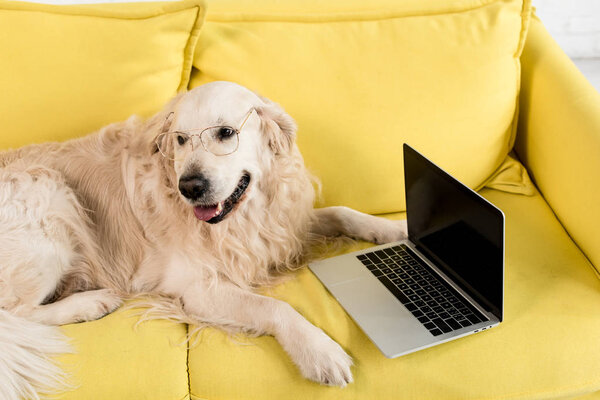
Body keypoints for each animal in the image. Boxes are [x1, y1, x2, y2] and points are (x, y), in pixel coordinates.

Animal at [0, 82, 408, 400]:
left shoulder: (282, 226)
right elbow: (274, 307)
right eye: (180, 140)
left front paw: (395, 229)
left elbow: (341, 211)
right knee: (19, 314)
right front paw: (319, 350)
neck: (242, 218)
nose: (190, 187)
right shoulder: (197, 288)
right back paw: (90, 303)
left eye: (225, 133)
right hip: (48, 192)